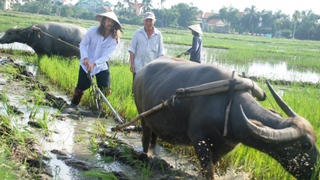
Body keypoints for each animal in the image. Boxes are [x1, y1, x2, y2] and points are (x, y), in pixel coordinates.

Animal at [132, 55, 318, 179]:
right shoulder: (199, 139)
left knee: (154, 136)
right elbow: (208, 170)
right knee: (145, 136)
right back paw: (145, 156)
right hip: (142, 114)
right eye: (306, 145)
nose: (316, 172)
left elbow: (212, 167)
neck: (229, 107)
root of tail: (142, 70)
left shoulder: (224, 146)